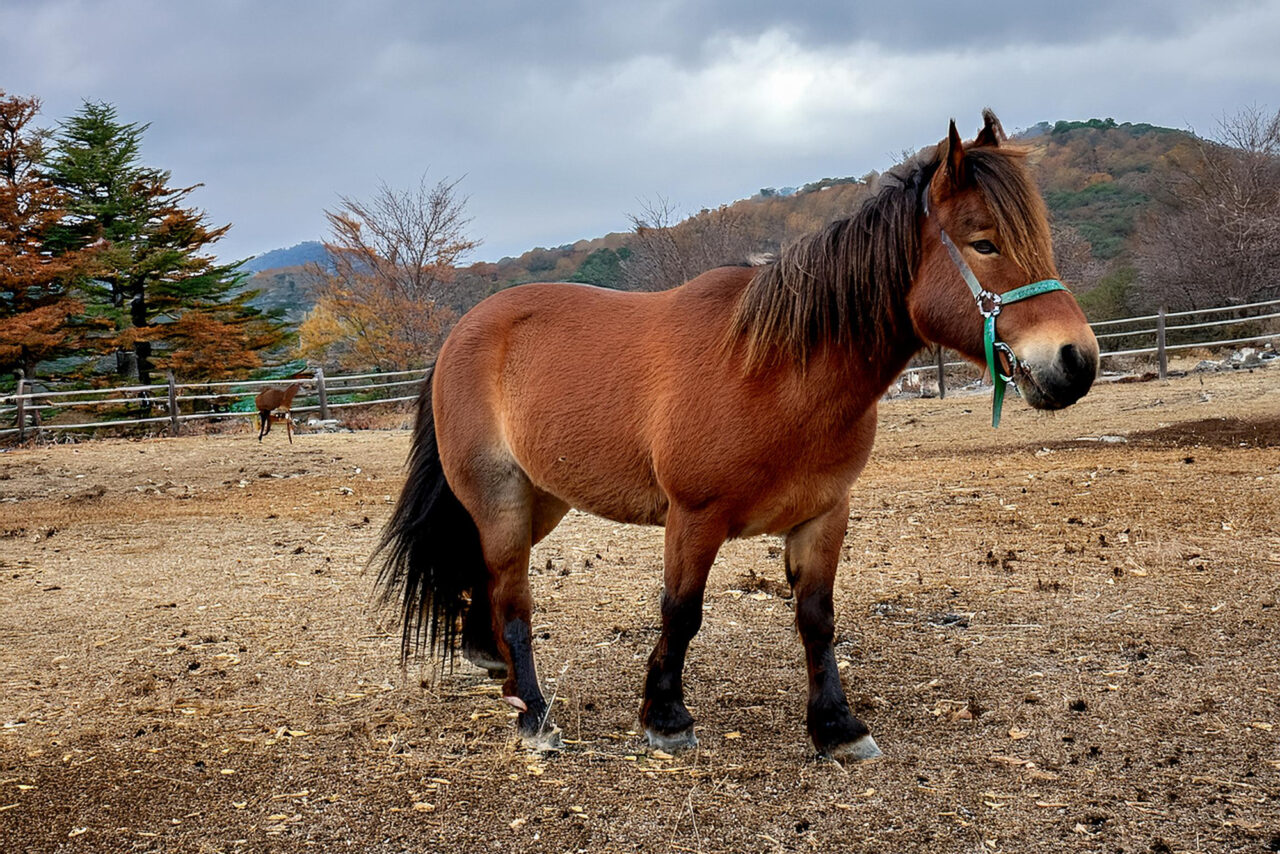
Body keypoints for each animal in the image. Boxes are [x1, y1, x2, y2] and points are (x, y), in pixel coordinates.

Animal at [373, 113, 1100, 763]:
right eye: (984, 244)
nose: (1076, 361)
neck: (773, 371)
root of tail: (464, 332)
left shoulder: (823, 515)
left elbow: (816, 618)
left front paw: (837, 727)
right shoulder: (695, 518)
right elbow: (682, 611)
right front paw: (665, 717)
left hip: (540, 499)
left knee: (489, 575)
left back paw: (493, 665)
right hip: (500, 495)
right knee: (514, 596)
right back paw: (534, 716)